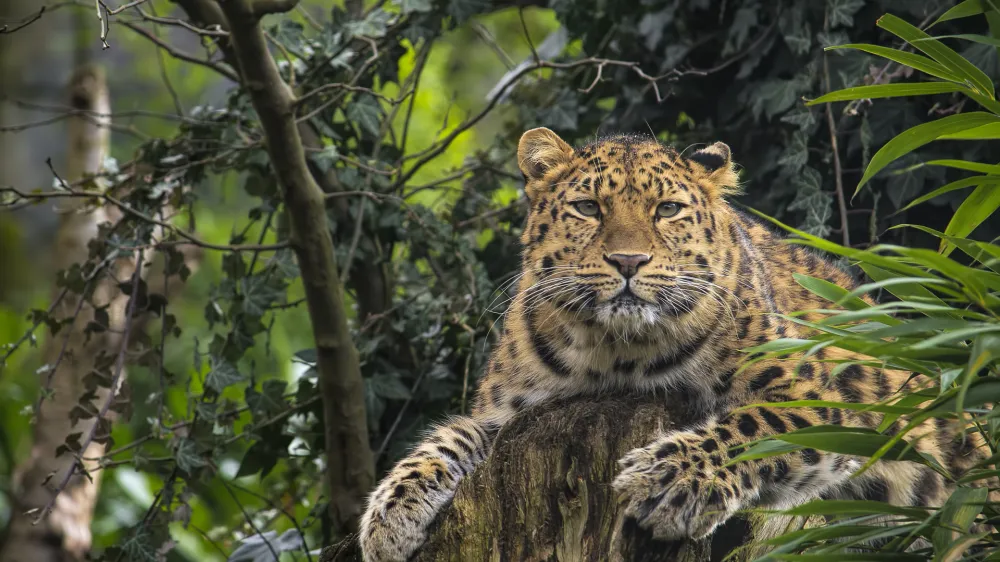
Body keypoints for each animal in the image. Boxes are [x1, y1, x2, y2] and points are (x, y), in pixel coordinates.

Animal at [359, 127, 991, 562]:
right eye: (588, 208)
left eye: (666, 210)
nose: (628, 261)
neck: (618, 351)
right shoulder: (511, 416)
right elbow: (450, 437)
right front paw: (389, 514)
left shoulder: (816, 396)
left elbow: (751, 427)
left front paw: (669, 481)